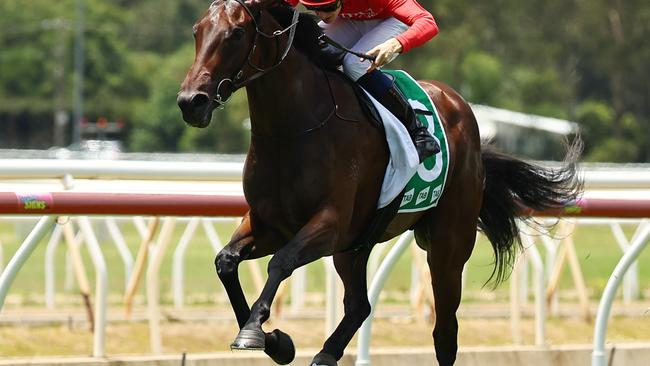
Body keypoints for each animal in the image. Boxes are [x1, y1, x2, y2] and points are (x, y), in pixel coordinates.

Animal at [175, 1, 580, 364]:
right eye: (196, 31)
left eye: (236, 33)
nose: (191, 101)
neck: (293, 129)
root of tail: (459, 105)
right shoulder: (270, 224)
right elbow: (226, 262)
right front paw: (277, 342)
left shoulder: (330, 224)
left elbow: (282, 261)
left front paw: (255, 332)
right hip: (355, 246)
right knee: (359, 306)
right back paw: (325, 354)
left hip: (447, 246)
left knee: (445, 332)